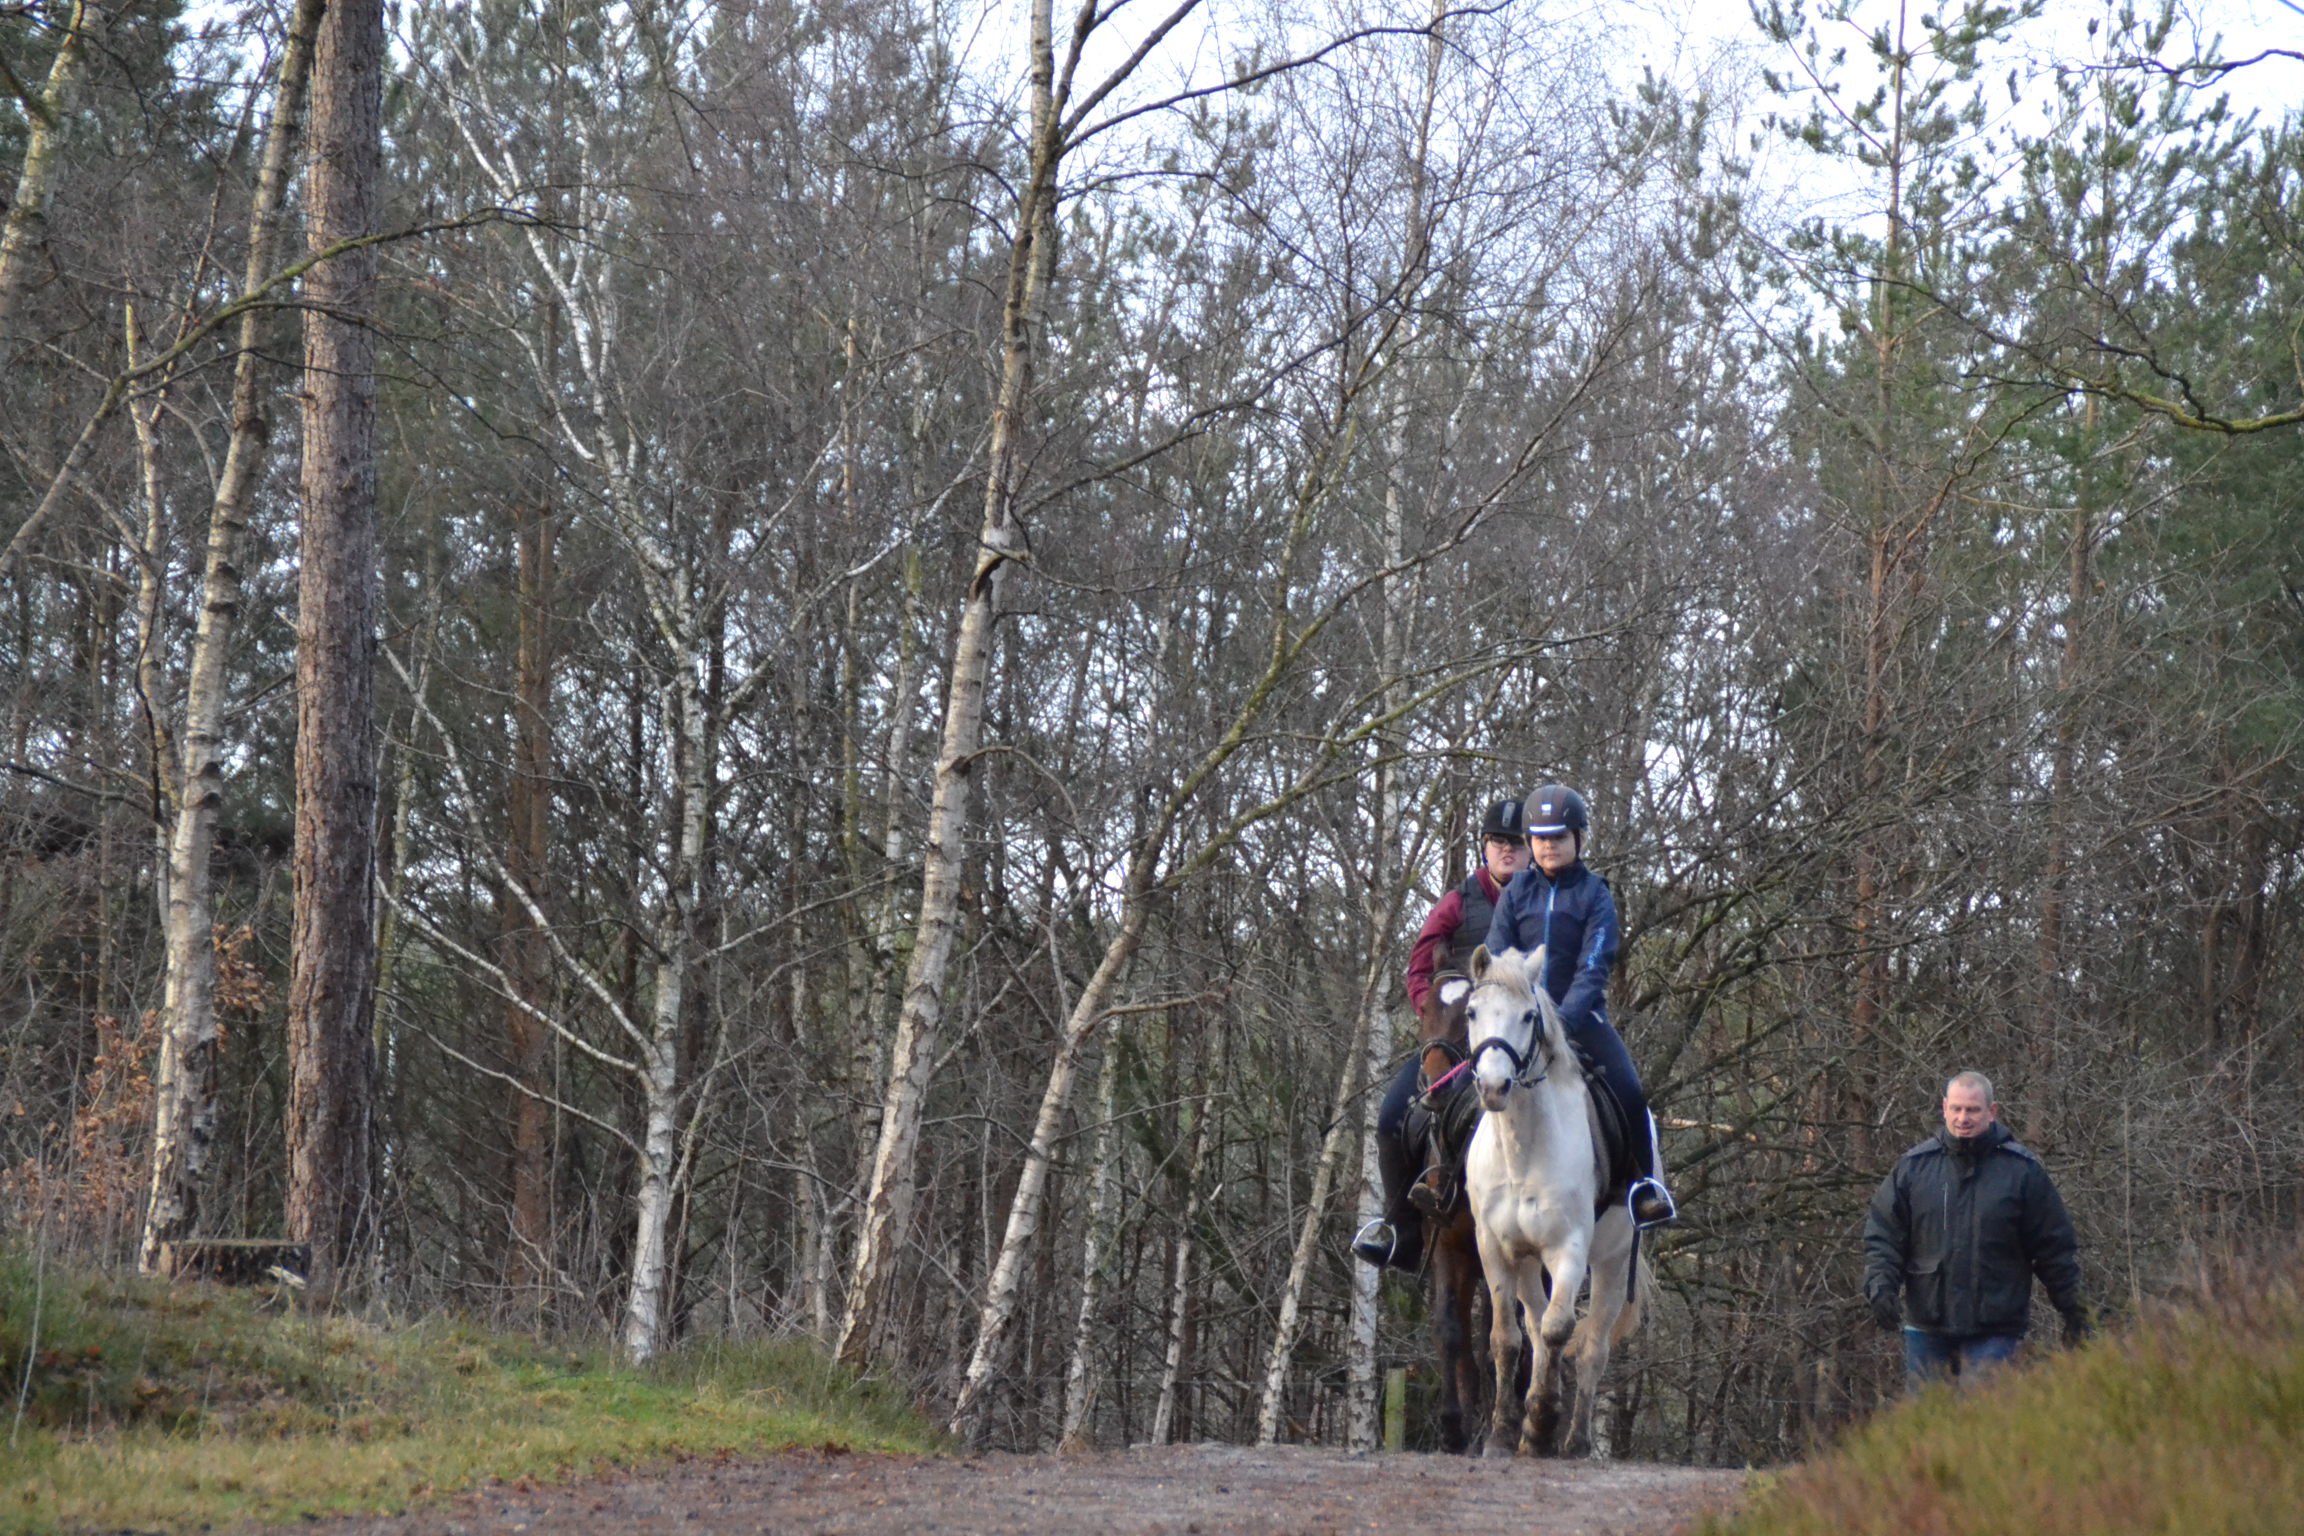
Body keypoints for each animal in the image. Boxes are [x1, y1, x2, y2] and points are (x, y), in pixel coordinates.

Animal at [1462, 943, 1644, 1458]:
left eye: (1529, 1015)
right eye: (1471, 1011)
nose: (1494, 1087)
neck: (1522, 1148)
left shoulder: (1570, 1248)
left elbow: (1561, 1328)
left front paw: (1543, 1421)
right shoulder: (1495, 1248)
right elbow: (1506, 1339)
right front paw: (1506, 1433)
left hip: (1612, 1262)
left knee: (1591, 1348)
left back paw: (1575, 1440)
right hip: (1526, 1261)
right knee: (1535, 1326)